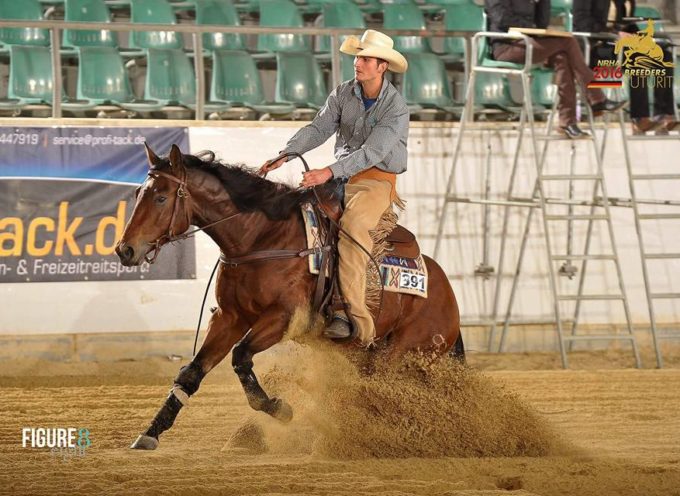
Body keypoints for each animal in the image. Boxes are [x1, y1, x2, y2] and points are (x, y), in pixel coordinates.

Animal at [115, 142, 462, 450]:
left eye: (161, 197)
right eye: (138, 194)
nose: (125, 250)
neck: (261, 237)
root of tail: (448, 294)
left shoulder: (284, 317)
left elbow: (241, 356)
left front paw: (280, 409)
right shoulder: (230, 317)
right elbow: (191, 373)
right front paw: (151, 433)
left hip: (405, 355)